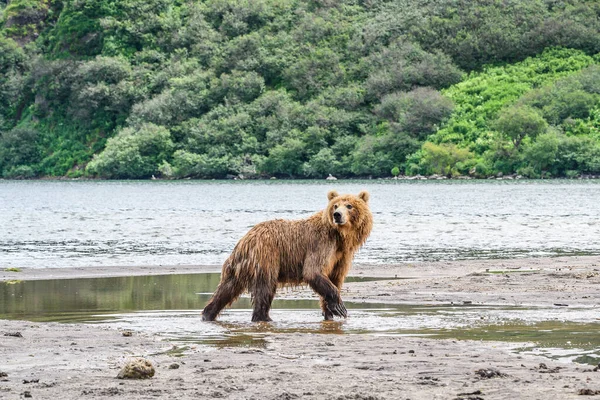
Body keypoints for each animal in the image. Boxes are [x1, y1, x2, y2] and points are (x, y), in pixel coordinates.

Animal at [202, 190, 370, 322]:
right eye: (335, 205)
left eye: (349, 206)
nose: (337, 215)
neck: (340, 237)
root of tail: (245, 239)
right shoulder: (321, 245)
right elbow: (313, 271)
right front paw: (340, 308)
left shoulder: (341, 256)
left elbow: (335, 278)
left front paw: (330, 312)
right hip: (266, 256)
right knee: (265, 289)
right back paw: (264, 317)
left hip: (238, 267)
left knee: (226, 290)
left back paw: (208, 314)